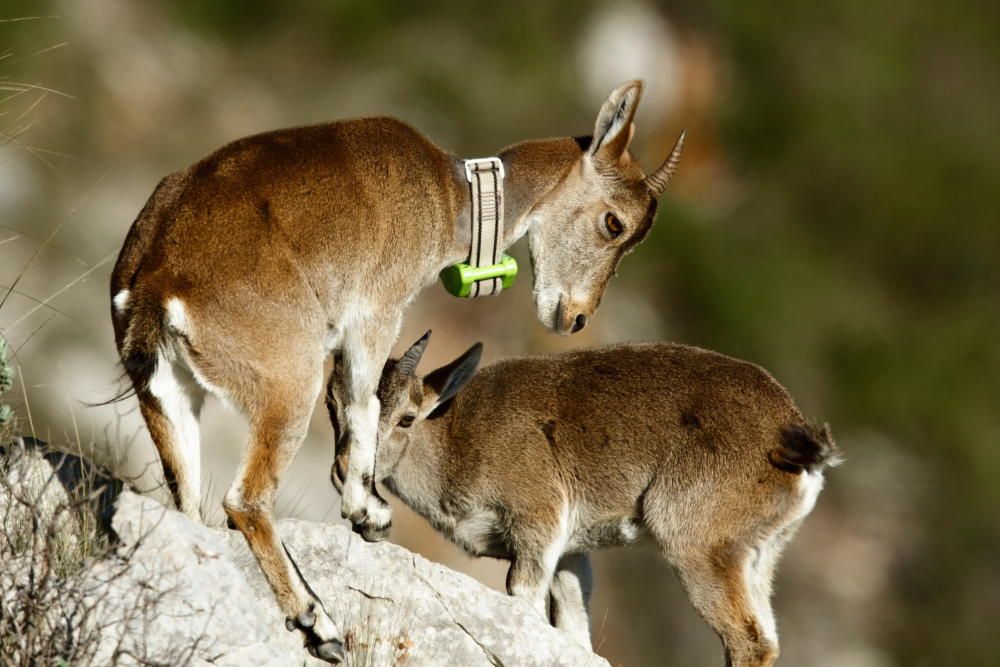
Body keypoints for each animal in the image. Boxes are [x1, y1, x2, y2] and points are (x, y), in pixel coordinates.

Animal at [111, 81, 688, 660]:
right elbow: (363, 404)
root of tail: (156, 278)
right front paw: (368, 511)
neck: (449, 195)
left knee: (188, 501)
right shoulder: (377, 312)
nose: (575, 317)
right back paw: (320, 626)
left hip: (167, 392)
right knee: (245, 499)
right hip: (287, 384)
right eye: (614, 223)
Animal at [326, 334, 836, 667]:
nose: (345, 468)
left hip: (698, 544)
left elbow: (522, 597)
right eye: (332, 405)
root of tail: (793, 435)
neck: (456, 438)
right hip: (758, 554)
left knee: (748, 640)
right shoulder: (572, 551)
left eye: (407, 417)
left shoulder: (539, 516)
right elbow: (573, 626)